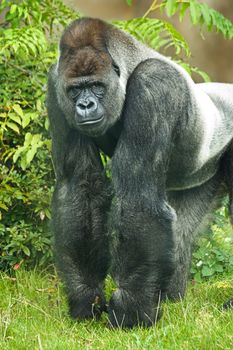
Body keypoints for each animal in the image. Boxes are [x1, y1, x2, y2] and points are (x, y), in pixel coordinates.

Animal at [46, 17, 233, 330]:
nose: (85, 105)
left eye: (96, 87)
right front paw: (87, 297)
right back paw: (171, 296)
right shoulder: (55, 85)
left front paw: (130, 312)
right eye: (75, 91)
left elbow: (139, 198)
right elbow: (81, 185)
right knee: (181, 228)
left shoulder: (153, 85)